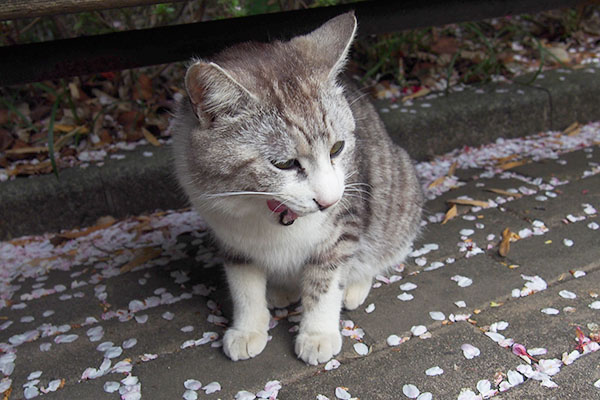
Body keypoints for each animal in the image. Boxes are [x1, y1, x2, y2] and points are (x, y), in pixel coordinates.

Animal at [169, 11, 422, 366]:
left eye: (337, 148)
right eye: (285, 164)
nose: (329, 201)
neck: (265, 207)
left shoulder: (343, 226)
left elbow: (325, 282)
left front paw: (317, 334)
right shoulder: (228, 234)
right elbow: (244, 286)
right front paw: (248, 328)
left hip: (397, 194)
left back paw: (354, 287)